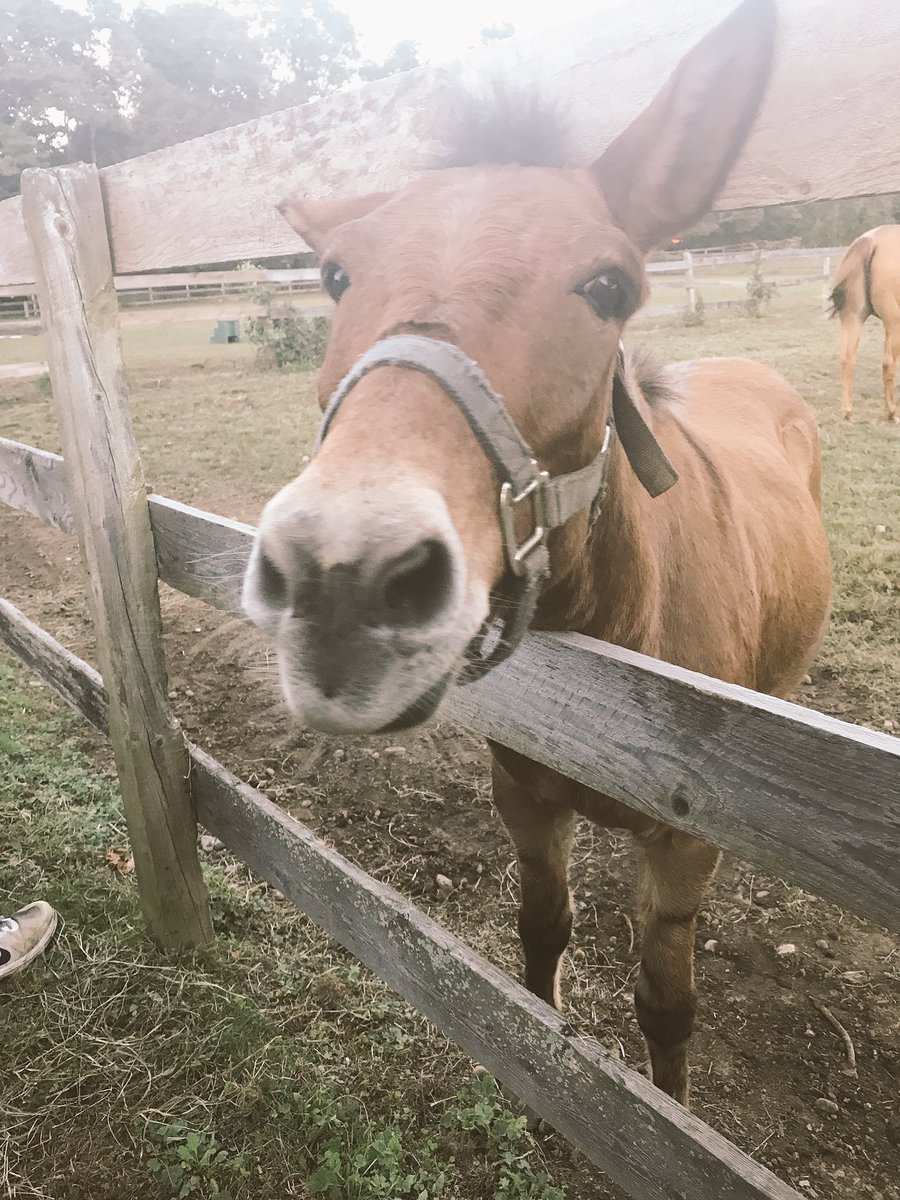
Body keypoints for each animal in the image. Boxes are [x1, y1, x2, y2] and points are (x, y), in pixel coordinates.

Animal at [243, 0, 832, 1107]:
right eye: (337, 276)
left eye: (609, 285)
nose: (343, 582)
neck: (612, 648)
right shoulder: (522, 794)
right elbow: (539, 936)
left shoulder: (685, 844)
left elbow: (666, 1006)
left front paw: (665, 1111)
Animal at [829, 224, 900, 422]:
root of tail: (870, 240)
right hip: (894, 324)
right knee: (891, 365)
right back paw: (892, 413)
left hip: (853, 319)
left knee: (848, 359)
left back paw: (848, 412)